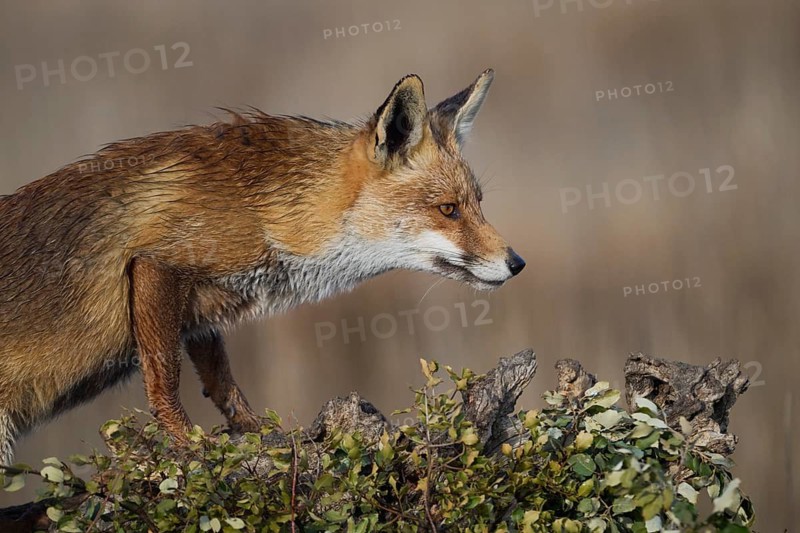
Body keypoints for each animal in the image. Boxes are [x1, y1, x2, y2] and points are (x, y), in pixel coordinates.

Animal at [0, 68, 525, 465]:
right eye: (448, 210)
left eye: (477, 204)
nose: (516, 263)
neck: (266, 209)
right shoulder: (157, 264)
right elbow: (165, 380)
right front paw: (188, 447)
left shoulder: (200, 308)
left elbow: (223, 383)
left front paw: (258, 435)